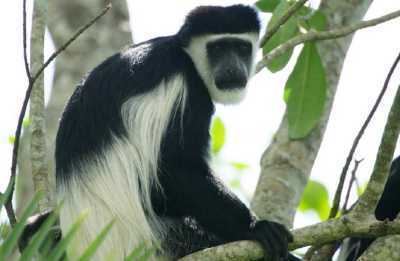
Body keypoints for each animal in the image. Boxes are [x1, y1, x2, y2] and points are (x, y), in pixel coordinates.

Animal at [54, 5, 296, 258]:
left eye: (241, 48)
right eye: (217, 48)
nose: (232, 68)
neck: (185, 56)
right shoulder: (186, 90)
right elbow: (170, 171)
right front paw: (255, 227)